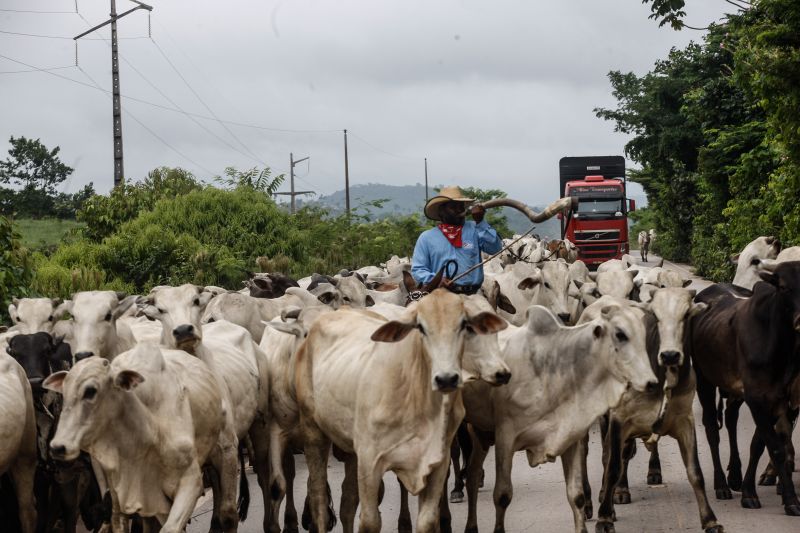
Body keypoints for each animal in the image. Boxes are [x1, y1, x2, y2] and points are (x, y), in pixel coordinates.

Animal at [43, 344, 238, 532]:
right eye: (64, 393)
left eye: (90, 391)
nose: (58, 447)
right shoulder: (143, 496)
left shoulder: (191, 480)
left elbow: (171, 528)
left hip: (225, 451)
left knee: (227, 514)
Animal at [294, 290, 506, 532]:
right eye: (420, 327)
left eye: (464, 325)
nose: (446, 379)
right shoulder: (370, 463)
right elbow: (370, 521)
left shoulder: (436, 463)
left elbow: (427, 520)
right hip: (313, 433)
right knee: (319, 499)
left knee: (347, 503)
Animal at [462, 304, 656, 532]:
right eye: (620, 334)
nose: (651, 381)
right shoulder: (505, 438)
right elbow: (502, 495)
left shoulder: (569, 436)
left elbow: (576, 495)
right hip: (476, 430)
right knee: (473, 476)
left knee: (472, 474)